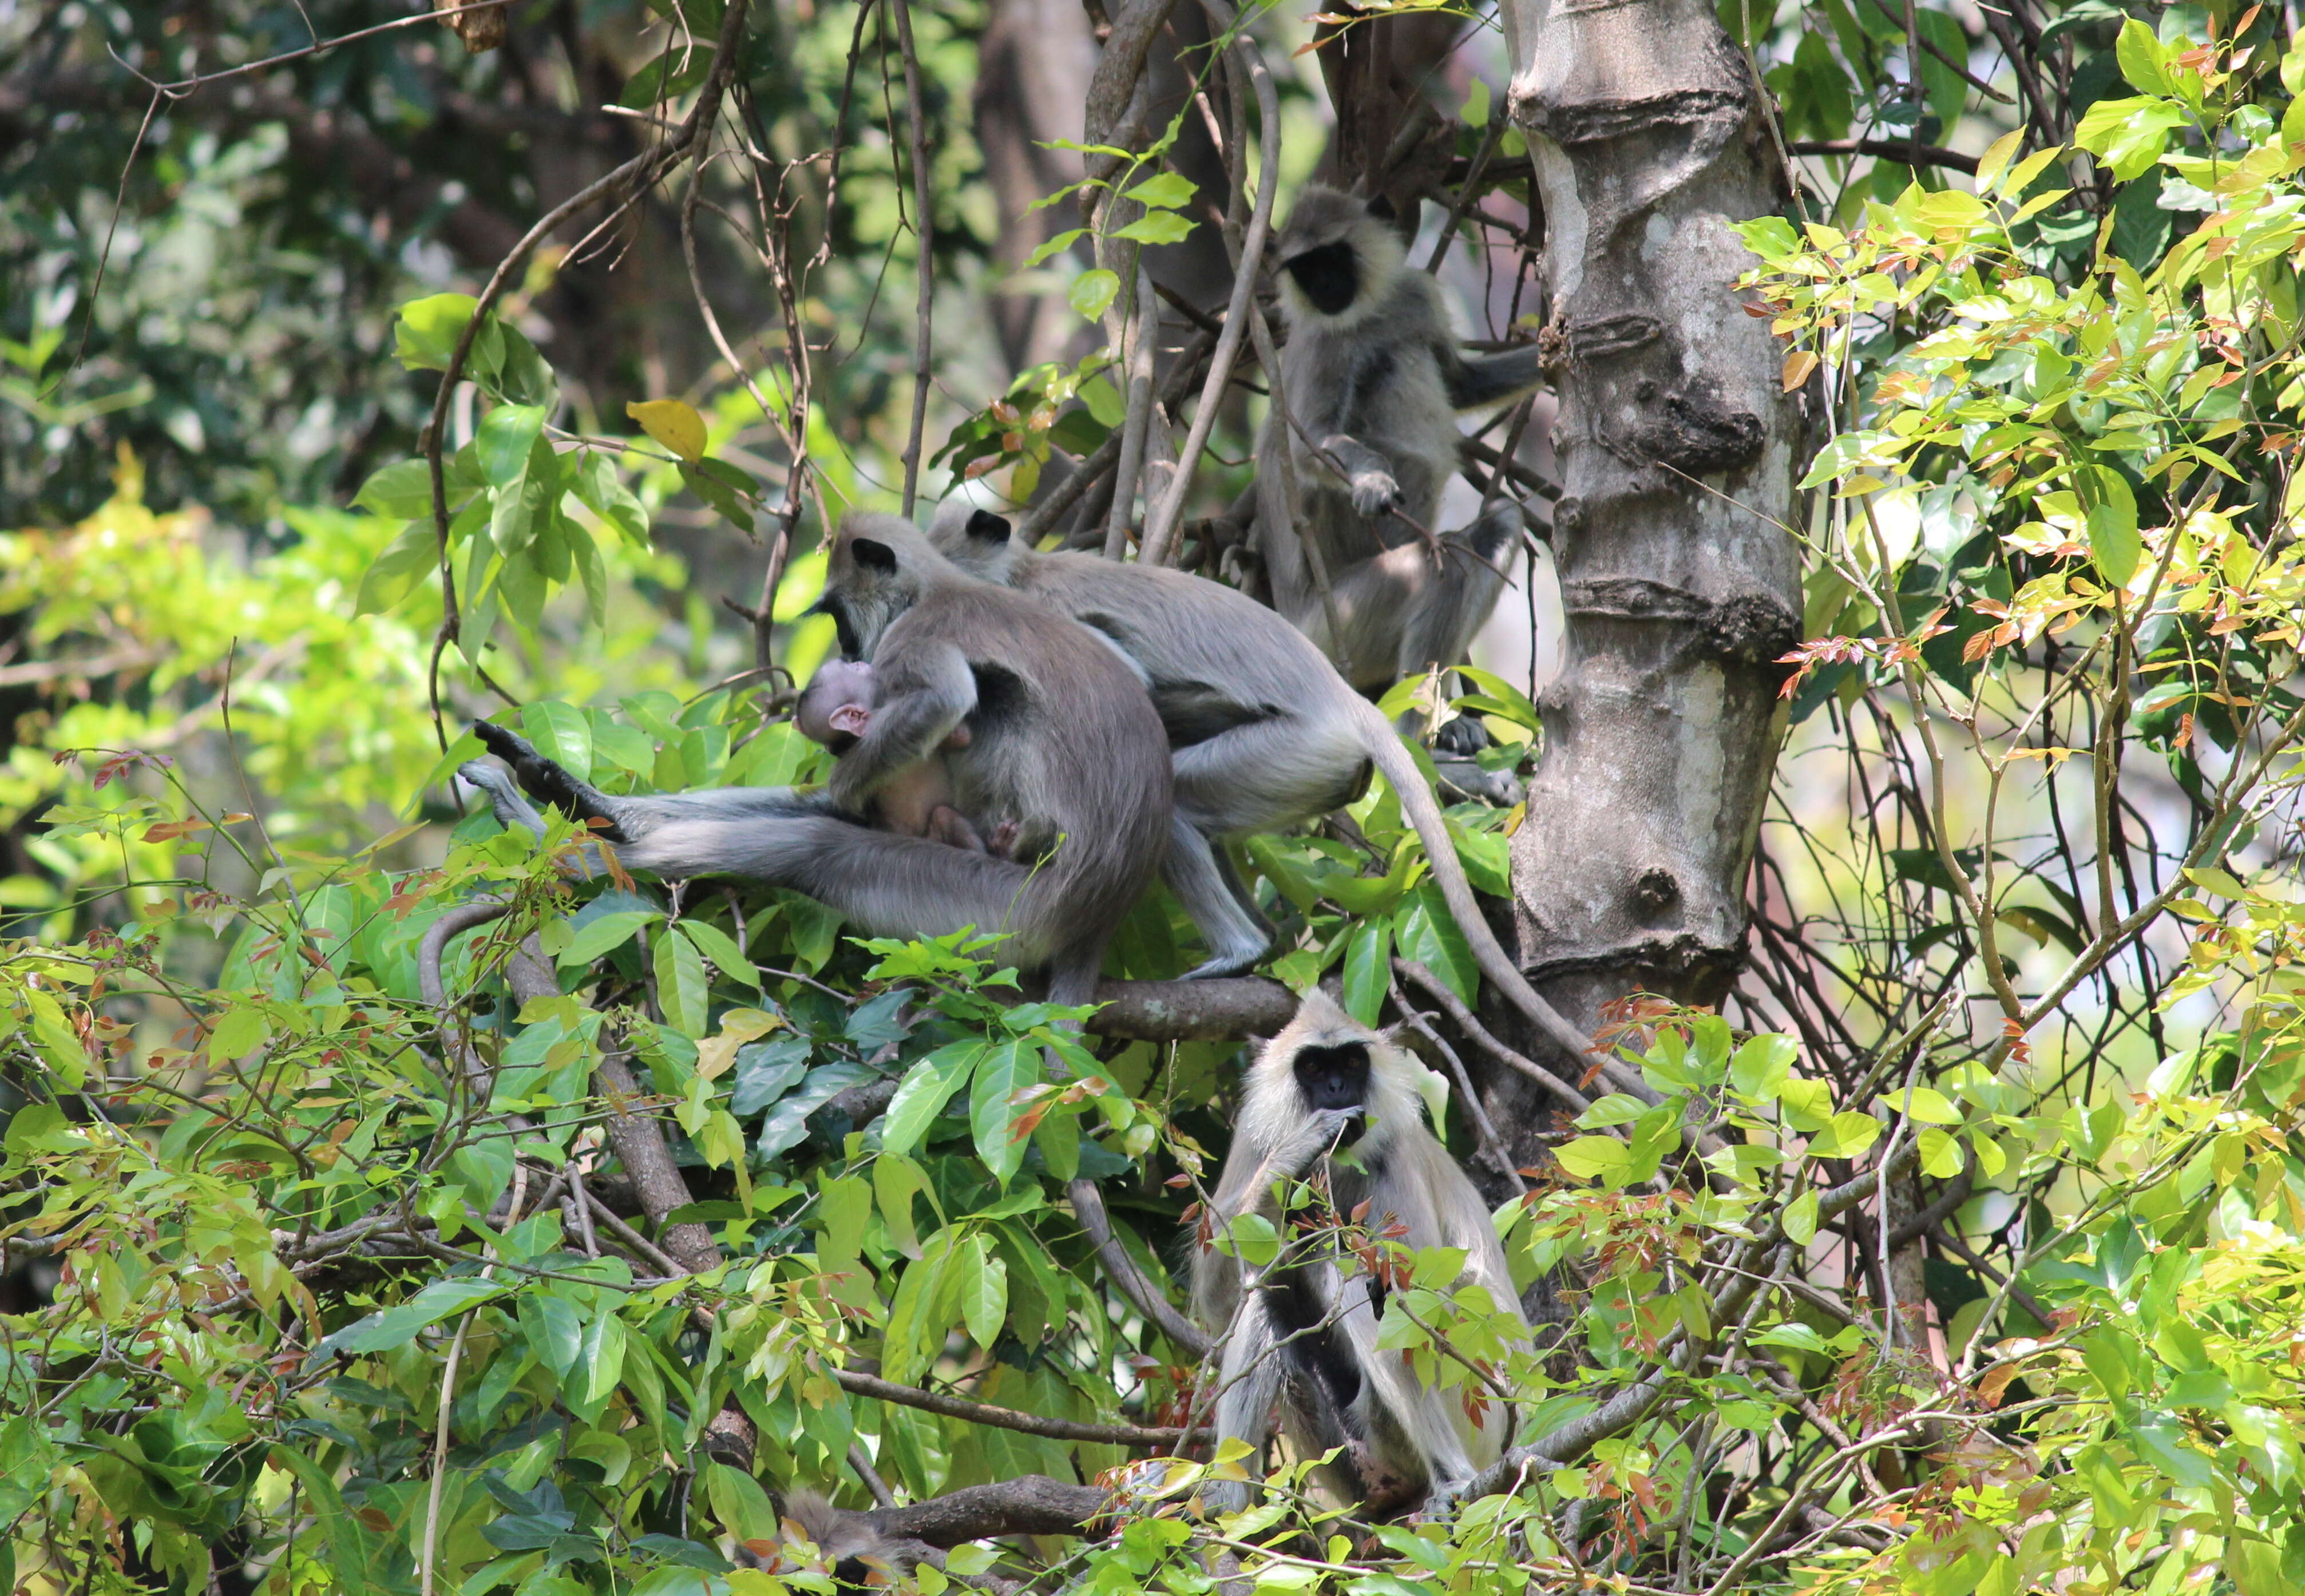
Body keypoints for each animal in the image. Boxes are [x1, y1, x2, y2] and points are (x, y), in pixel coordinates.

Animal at [461, 512, 1171, 1005]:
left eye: (837, 612)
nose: (846, 646)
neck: (944, 585)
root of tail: (1103, 905)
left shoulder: (916, 633)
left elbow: (943, 702)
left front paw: (849, 785)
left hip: (1003, 911)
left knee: (818, 844)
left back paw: (565, 852)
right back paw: (588, 809)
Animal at [926, 507, 1577, 1060]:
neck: (1028, 572)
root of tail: (1343, 699)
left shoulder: (1038, 617)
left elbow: (1128, 689)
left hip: (1297, 752)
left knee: (1172, 804)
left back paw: (1238, 951)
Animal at [1189, 992, 1530, 1512]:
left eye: (1351, 1062)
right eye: (1313, 1066)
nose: (1335, 1087)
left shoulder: (1397, 1157)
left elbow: (1421, 1295)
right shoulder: (1254, 1138)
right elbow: (1218, 1301)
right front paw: (1290, 1160)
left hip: (1476, 1408)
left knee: (1362, 1287)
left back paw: (1451, 1474)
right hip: (1339, 1452)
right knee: (1268, 1290)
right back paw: (1228, 1500)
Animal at [1254, 185, 1539, 692]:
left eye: (1333, 257)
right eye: (1305, 269)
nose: (1324, 285)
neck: (1366, 314)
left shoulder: (1415, 294)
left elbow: (1461, 383)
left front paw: (1554, 353)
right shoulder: (1320, 344)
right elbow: (1306, 449)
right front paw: (1372, 480)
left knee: (1500, 522)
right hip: (1336, 622)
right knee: (1441, 563)